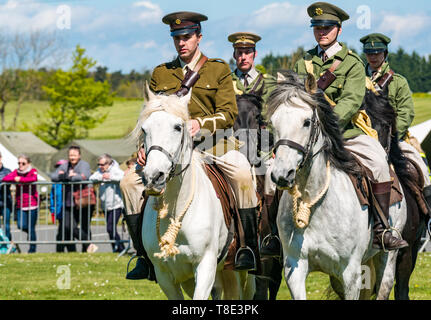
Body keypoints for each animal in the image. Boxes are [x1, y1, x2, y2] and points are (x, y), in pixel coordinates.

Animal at [130, 85, 255, 300]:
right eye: (144, 129)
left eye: (178, 127)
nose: (153, 177)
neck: (176, 210)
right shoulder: (165, 275)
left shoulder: (205, 266)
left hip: (243, 273)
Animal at [268, 73, 406, 300]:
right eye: (273, 122)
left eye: (307, 122)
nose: (281, 174)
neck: (313, 201)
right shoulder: (295, 269)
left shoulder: (350, 274)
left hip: (387, 259)